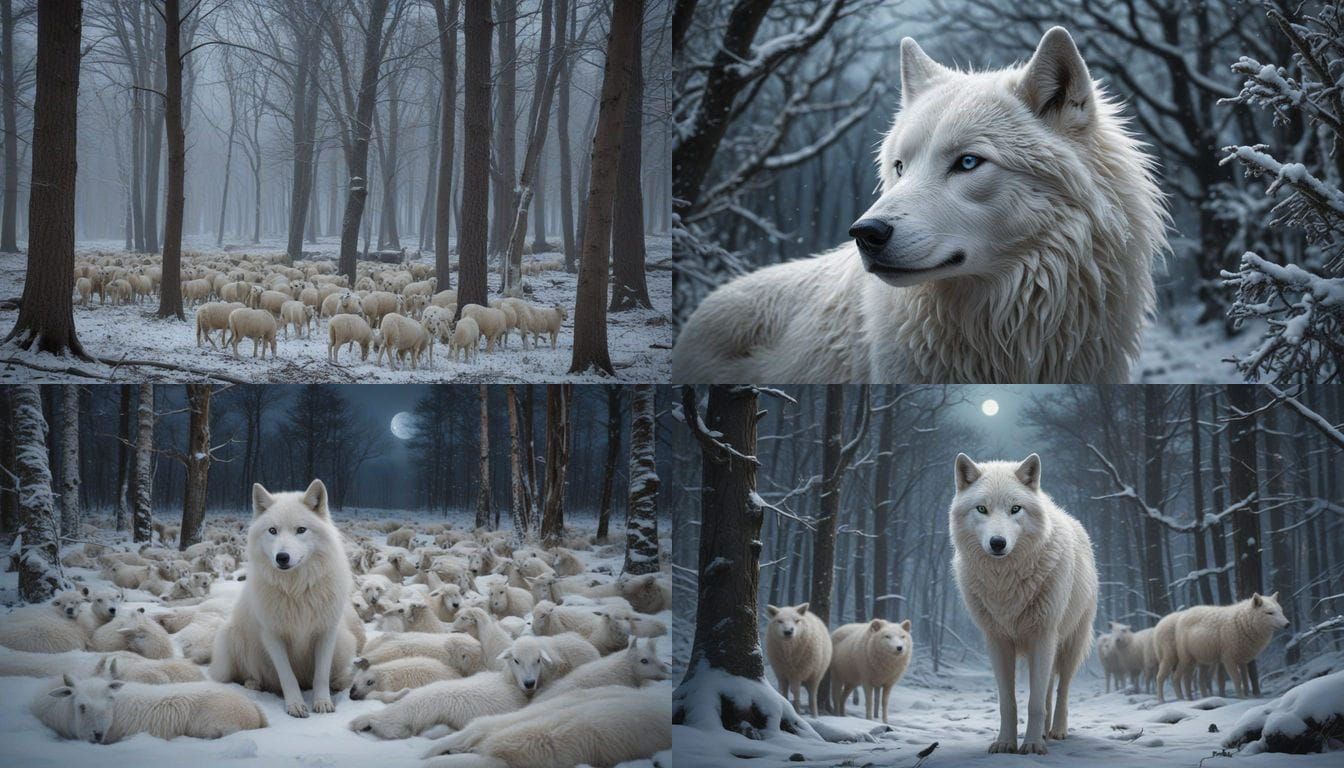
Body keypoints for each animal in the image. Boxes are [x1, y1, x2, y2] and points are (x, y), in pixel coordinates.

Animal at [210, 479, 356, 717]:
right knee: (246, 675)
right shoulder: (272, 636)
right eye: (272, 531)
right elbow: (288, 676)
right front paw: (296, 705)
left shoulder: (326, 632)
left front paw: (323, 703)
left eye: (301, 530)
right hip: (230, 636)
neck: (296, 590)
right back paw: (253, 683)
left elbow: (321, 675)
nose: (282, 557)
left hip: (345, 643)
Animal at [949, 454, 1098, 754]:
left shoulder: (1044, 636)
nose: (997, 542)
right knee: (1049, 690)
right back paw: (1043, 732)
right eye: (982, 509)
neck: (1004, 583)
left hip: (1069, 644)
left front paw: (1031, 745)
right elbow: (1009, 703)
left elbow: (1034, 703)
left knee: (1062, 689)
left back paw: (1056, 730)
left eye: (1015, 509)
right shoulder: (997, 641)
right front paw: (1006, 742)